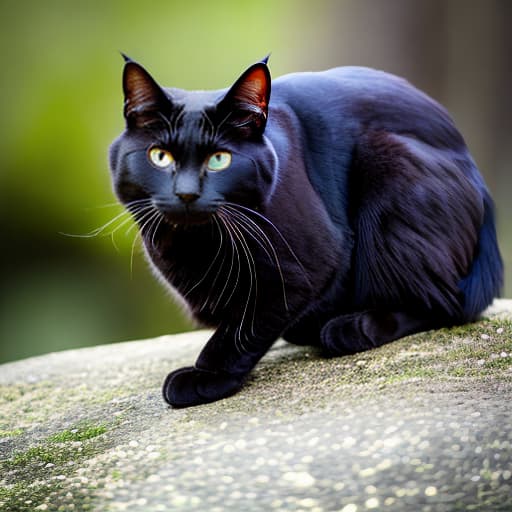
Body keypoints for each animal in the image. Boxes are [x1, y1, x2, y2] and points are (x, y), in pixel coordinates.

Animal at [109, 56, 504, 408]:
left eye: (219, 159)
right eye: (160, 157)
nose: (187, 194)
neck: (193, 245)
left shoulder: (305, 268)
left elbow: (241, 328)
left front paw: (207, 375)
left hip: (390, 159)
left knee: (447, 303)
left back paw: (352, 327)